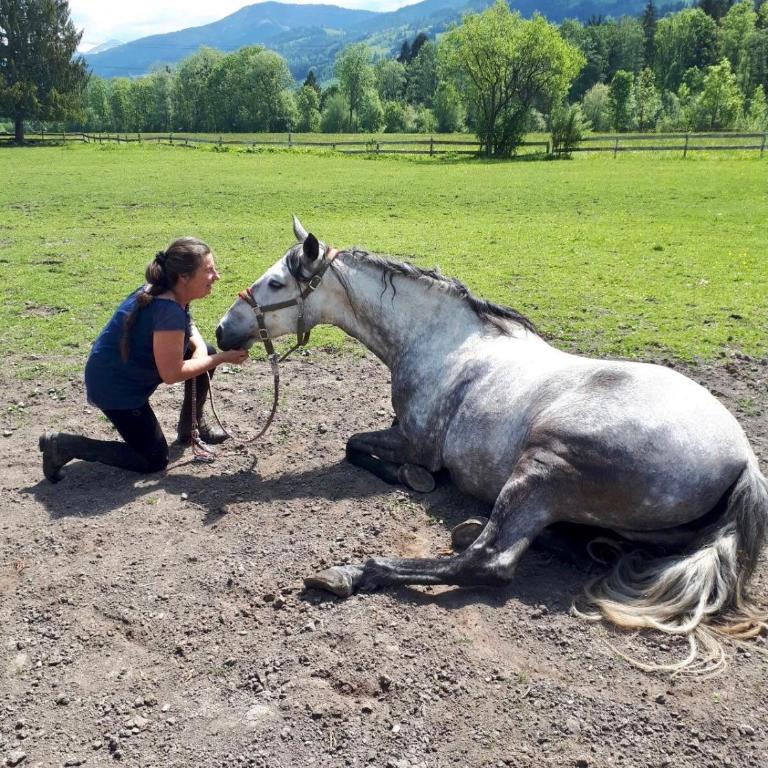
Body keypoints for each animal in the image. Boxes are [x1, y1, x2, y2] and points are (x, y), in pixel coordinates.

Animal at [216, 217, 768, 673]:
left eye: (276, 283)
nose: (222, 331)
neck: (443, 344)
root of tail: (743, 460)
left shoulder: (414, 440)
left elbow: (354, 447)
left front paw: (413, 480)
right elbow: (355, 446)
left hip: (542, 470)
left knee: (489, 560)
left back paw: (352, 570)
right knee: (578, 549)